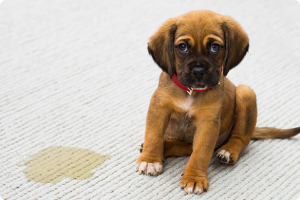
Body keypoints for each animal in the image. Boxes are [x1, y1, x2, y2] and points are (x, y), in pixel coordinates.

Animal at [136, 10, 300, 195]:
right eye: (182, 47)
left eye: (215, 47)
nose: (198, 71)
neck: (190, 92)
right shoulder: (159, 108)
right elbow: (153, 135)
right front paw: (150, 160)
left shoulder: (207, 124)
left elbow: (200, 153)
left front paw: (194, 178)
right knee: (185, 147)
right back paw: (162, 147)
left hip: (245, 93)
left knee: (240, 138)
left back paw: (228, 151)